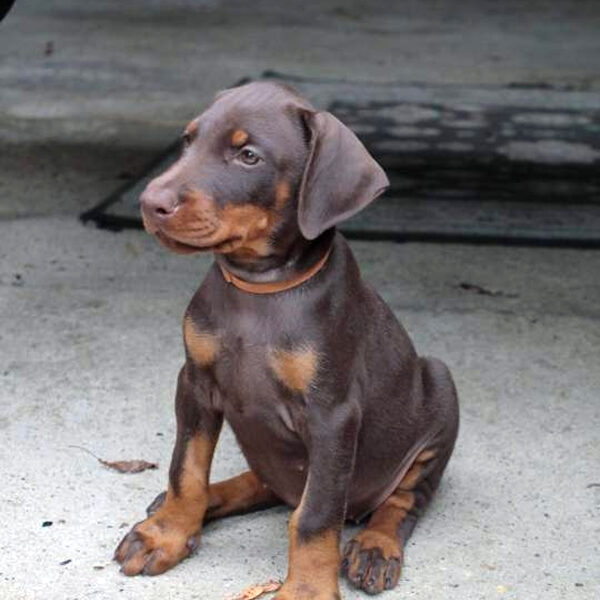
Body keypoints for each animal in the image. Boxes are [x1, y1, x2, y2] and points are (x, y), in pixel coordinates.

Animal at [115, 82, 458, 596]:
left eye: (249, 156)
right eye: (188, 142)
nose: (149, 202)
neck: (259, 289)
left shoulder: (332, 415)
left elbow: (316, 515)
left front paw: (308, 588)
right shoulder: (194, 383)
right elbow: (186, 469)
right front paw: (167, 533)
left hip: (439, 389)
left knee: (399, 501)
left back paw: (375, 545)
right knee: (263, 483)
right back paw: (205, 503)